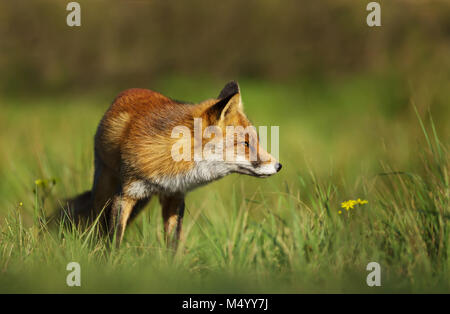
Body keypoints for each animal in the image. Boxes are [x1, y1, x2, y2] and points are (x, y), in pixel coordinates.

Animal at [63, 81, 282, 248]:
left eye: (256, 141)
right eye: (245, 143)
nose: (279, 166)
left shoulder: (175, 197)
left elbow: (173, 245)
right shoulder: (125, 195)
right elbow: (115, 240)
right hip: (106, 191)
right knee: (97, 222)